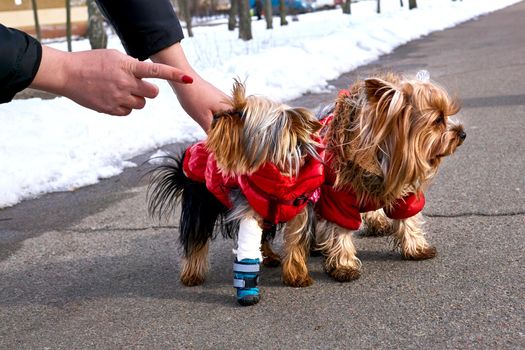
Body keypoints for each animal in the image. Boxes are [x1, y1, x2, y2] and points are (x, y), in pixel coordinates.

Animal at [147, 80, 324, 304]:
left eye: (241, 113)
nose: (215, 115)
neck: (278, 175)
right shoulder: (247, 207)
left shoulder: (300, 208)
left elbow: (296, 241)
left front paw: (297, 275)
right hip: (200, 203)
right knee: (195, 238)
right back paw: (192, 274)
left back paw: (270, 256)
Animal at [286, 70, 466, 284]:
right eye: (438, 120)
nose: (462, 134)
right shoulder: (338, 195)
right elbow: (340, 228)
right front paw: (344, 266)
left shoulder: (402, 185)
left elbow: (408, 216)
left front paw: (417, 247)